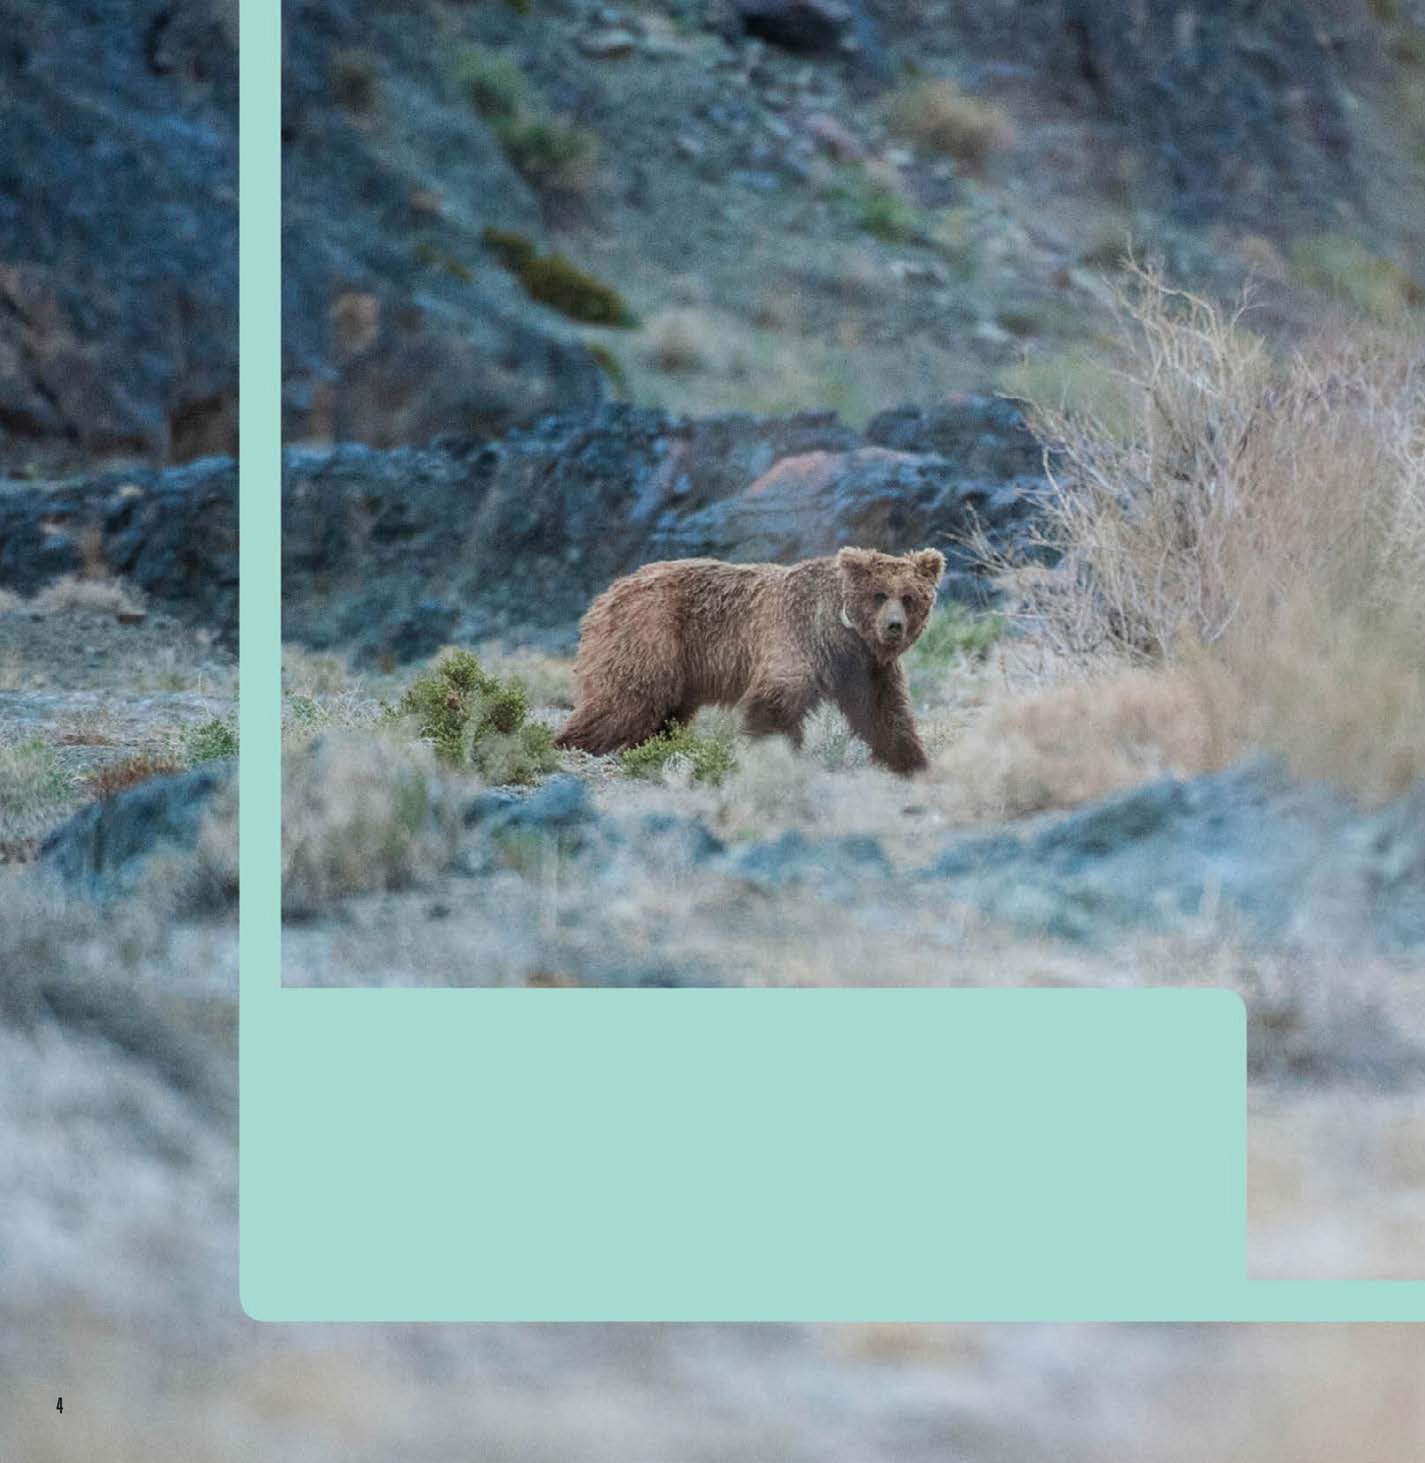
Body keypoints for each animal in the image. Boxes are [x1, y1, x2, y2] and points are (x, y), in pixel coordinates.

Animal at [555, 550, 948, 778]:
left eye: (909, 597)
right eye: (879, 594)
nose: (893, 626)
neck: (840, 634)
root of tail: (607, 594)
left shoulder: (866, 669)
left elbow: (884, 714)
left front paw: (913, 761)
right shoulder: (795, 641)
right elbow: (772, 708)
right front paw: (769, 758)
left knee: (664, 712)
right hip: (651, 634)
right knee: (624, 701)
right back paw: (570, 744)